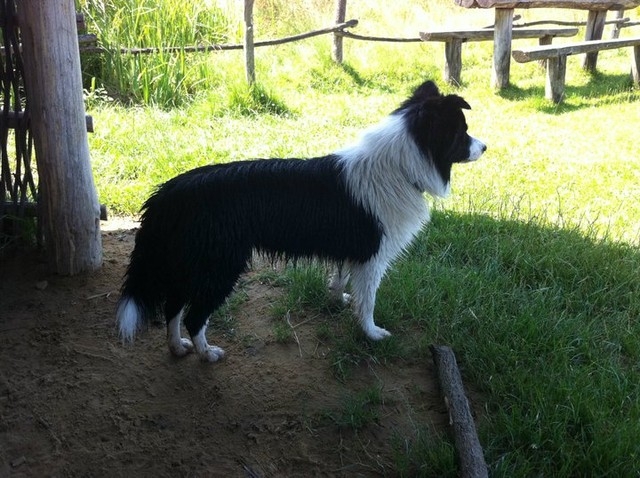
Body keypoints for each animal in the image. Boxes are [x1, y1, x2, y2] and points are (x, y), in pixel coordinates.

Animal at [116, 80, 486, 362]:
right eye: (463, 132)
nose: (485, 147)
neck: (400, 167)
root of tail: (170, 192)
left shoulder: (351, 251)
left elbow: (340, 278)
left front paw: (338, 300)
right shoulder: (373, 257)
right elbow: (368, 301)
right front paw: (371, 333)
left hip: (191, 263)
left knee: (173, 306)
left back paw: (177, 347)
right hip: (219, 266)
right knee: (194, 315)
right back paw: (206, 353)